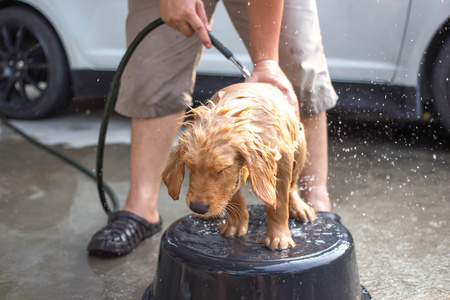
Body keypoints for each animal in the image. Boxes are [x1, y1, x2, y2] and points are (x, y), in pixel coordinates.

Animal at [163, 82, 316, 251]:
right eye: (190, 166)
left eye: (222, 169)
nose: (198, 207)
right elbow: (232, 193)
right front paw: (236, 224)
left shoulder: (283, 161)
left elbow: (280, 202)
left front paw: (279, 237)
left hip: (300, 147)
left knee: (293, 185)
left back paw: (300, 208)